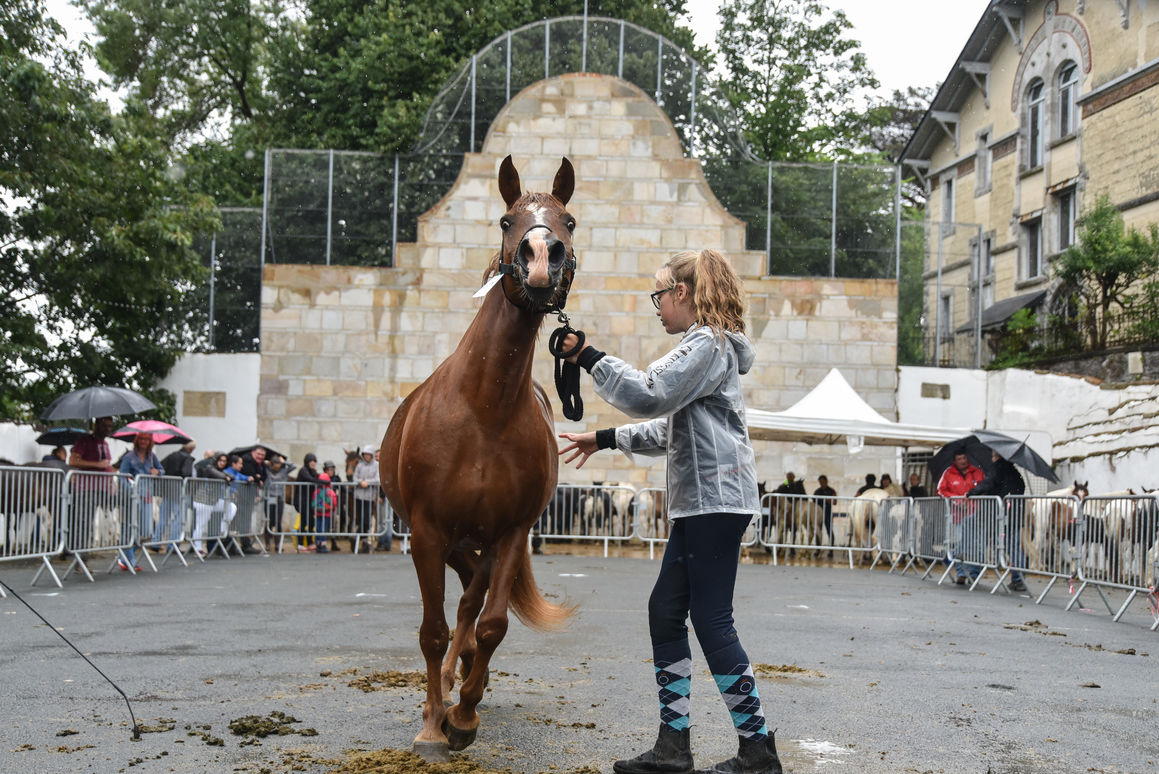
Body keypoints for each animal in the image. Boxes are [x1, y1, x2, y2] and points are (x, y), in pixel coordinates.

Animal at [382, 154, 577, 760]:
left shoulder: (511, 532)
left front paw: (463, 718)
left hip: (483, 541)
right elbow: (432, 630)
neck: (484, 410)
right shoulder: (425, 531)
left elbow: (490, 623)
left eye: (569, 221)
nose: (541, 258)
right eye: (506, 220)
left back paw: (467, 679)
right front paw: (431, 723)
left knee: (473, 600)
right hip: (448, 539)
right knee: (459, 604)